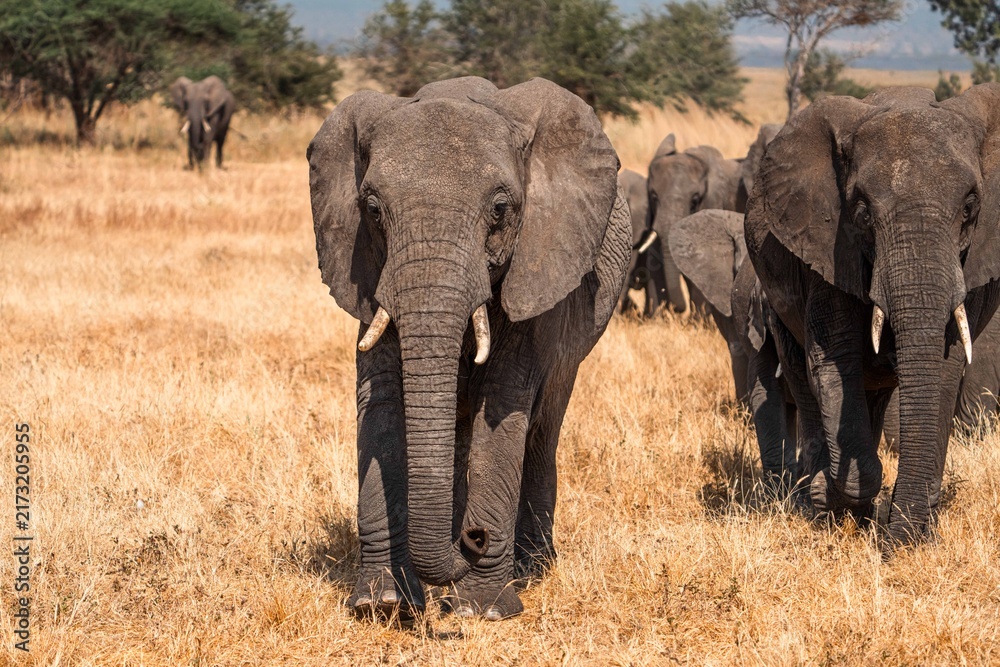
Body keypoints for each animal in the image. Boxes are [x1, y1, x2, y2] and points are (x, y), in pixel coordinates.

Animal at [308, 76, 630, 620]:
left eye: (500, 210)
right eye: (371, 210)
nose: (472, 540)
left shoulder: (538, 264)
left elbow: (501, 408)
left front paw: (484, 609)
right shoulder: (370, 274)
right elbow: (381, 403)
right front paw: (383, 604)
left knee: (542, 428)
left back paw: (532, 565)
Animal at [744, 85, 1000, 549]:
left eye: (971, 207)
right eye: (862, 213)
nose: (895, 545)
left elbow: (946, 365)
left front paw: (912, 531)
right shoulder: (828, 250)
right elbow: (833, 360)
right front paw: (835, 497)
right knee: (804, 378)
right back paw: (823, 502)